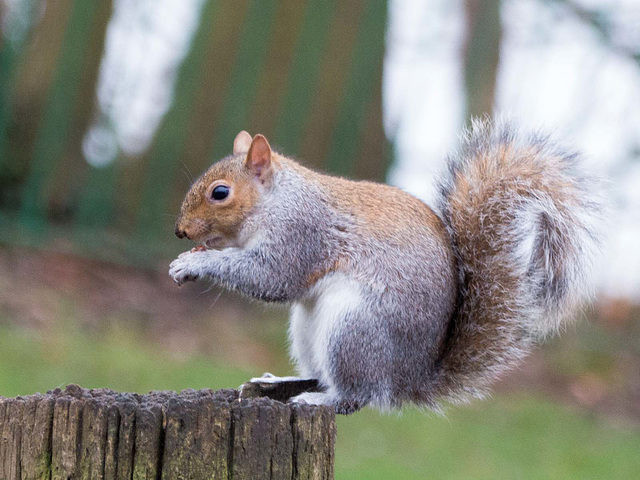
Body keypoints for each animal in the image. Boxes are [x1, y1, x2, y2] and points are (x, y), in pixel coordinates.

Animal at [166, 119, 604, 412]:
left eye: (220, 193)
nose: (180, 231)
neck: (277, 199)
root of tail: (409, 379)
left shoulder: (301, 235)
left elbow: (271, 278)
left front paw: (195, 263)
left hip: (353, 329)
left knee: (358, 396)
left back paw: (319, 400)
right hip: (308, 328)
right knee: (323, 375)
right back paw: (278, 384)